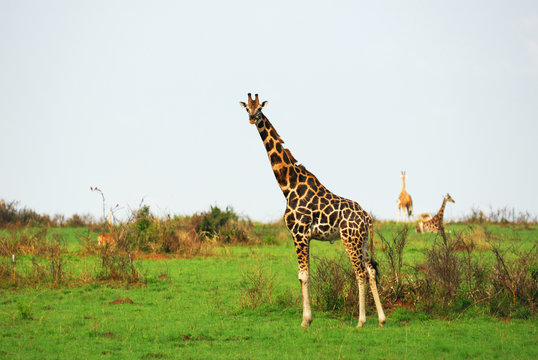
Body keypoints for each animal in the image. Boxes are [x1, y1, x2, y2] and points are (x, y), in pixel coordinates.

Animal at [240, 93, 386, 330]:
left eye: (260, 108)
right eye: (247, 109)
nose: (253, 118)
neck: (288, 185)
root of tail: (367, 217)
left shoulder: (298, 233)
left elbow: (303, 275)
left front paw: (305, 321)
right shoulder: (304, 236)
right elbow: (305, 275)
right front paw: (308, 319)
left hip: (350, 239)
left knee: (360, 273)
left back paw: (361, 321)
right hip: (362, 241)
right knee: (371, 271)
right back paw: (382, 320)